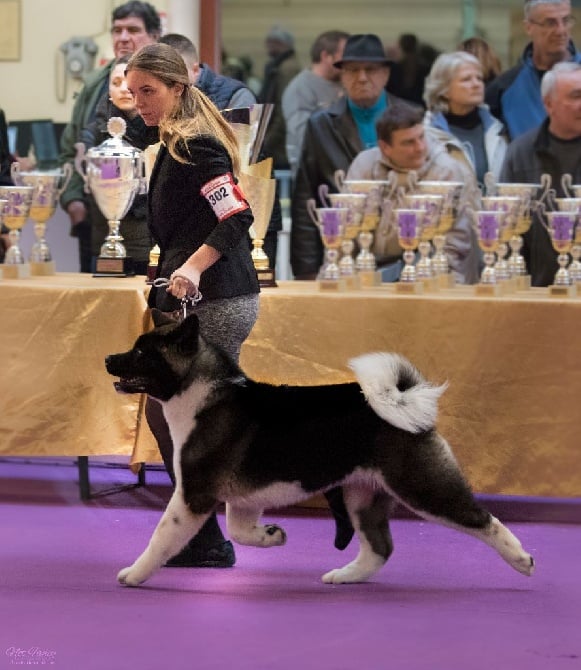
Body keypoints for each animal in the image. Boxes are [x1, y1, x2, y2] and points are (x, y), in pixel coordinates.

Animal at [105, 310, 536, 588]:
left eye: (142, 353)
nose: (109, 358)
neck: (200, 394)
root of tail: (410, 407)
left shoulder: (193, 494)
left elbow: (162, 536)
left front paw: (134, 574)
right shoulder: (243, 499)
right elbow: (241, 532)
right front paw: (272, 535)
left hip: (421, 485)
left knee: (483, 519)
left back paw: (521, 559)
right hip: (362, 495)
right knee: (379, 548)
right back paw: (346, 576)